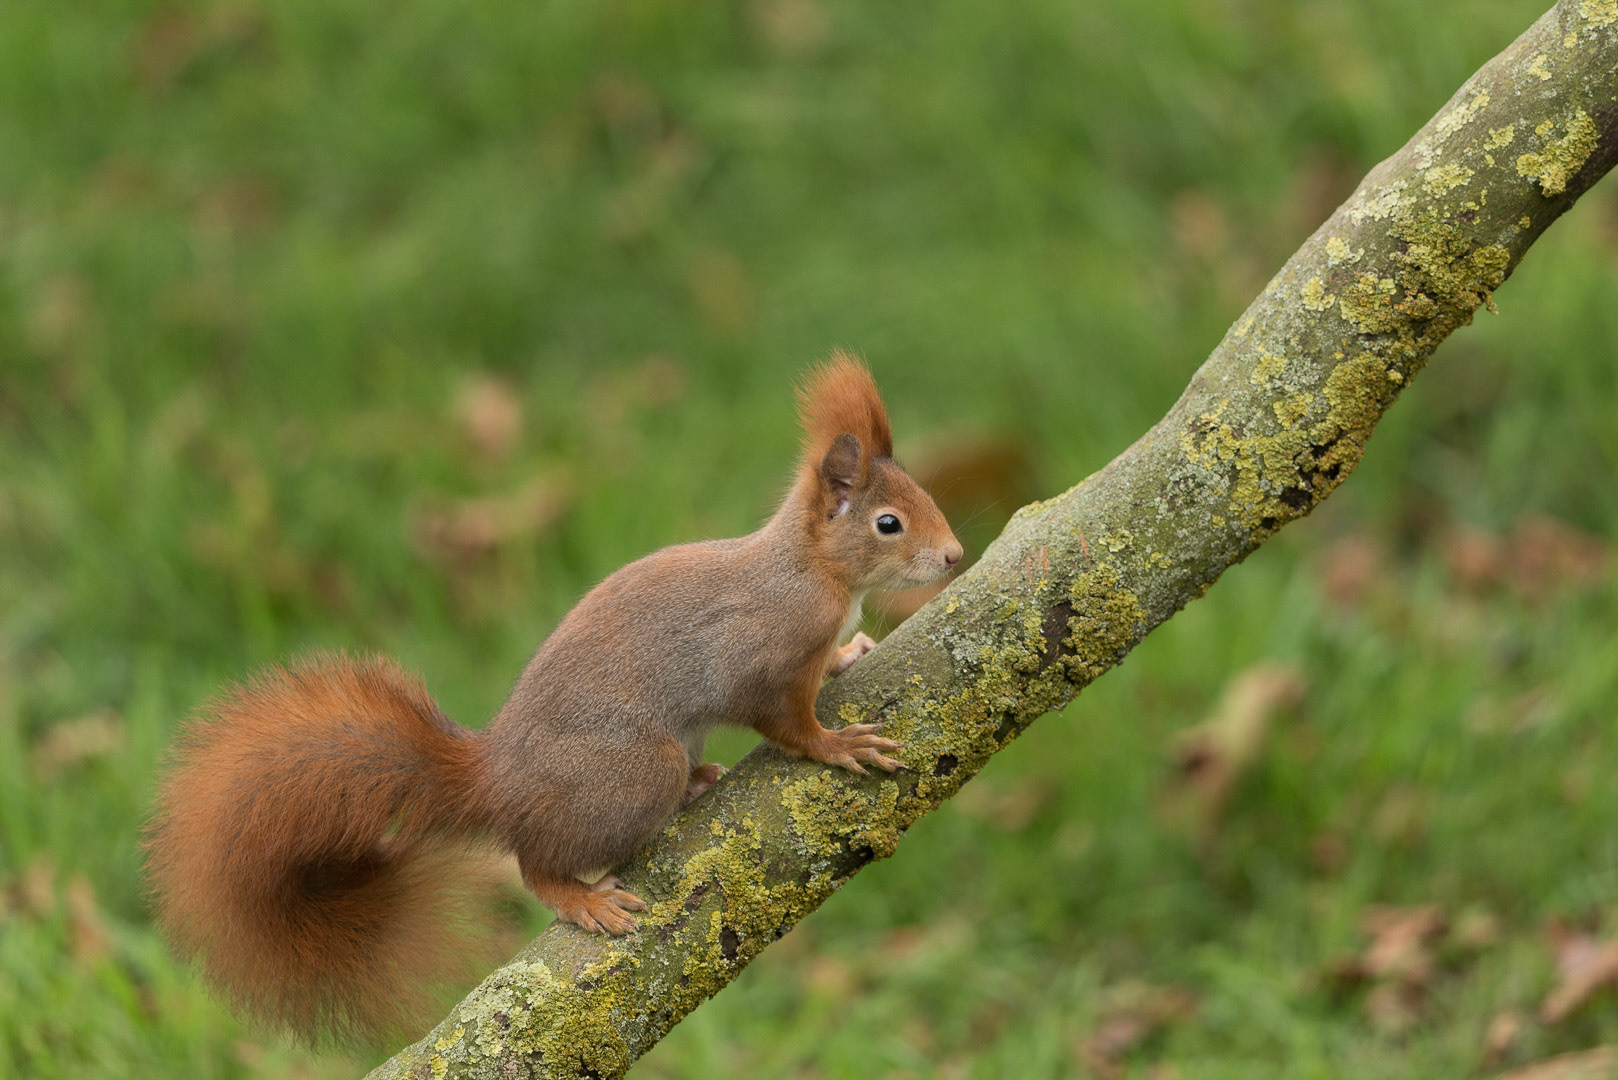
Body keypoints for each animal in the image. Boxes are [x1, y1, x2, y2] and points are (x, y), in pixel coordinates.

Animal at [143, 353, 963, 1043]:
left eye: (925, 496)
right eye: (889, 523)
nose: (955, 556)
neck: (815, 571)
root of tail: (497, 783)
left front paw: (851, 654)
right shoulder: (759, 657)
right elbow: (785, 721)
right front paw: (838, 744)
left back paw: (701, 782)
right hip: (628, 775)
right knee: (537, 862)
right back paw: (584, 894)